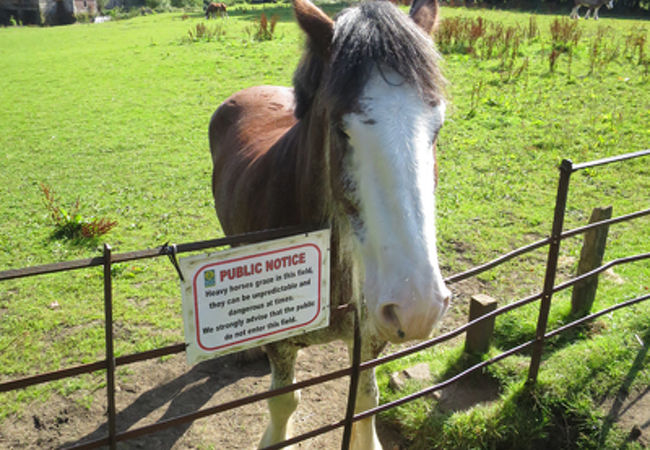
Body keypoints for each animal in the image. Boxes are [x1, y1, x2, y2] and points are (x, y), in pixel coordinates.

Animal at [209, 0, 450, 446]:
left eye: (436, 127)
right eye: (342, 129)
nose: (417, 306)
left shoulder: (371, 333)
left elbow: (366, 399)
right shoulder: (283, 340)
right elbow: (283, 403)